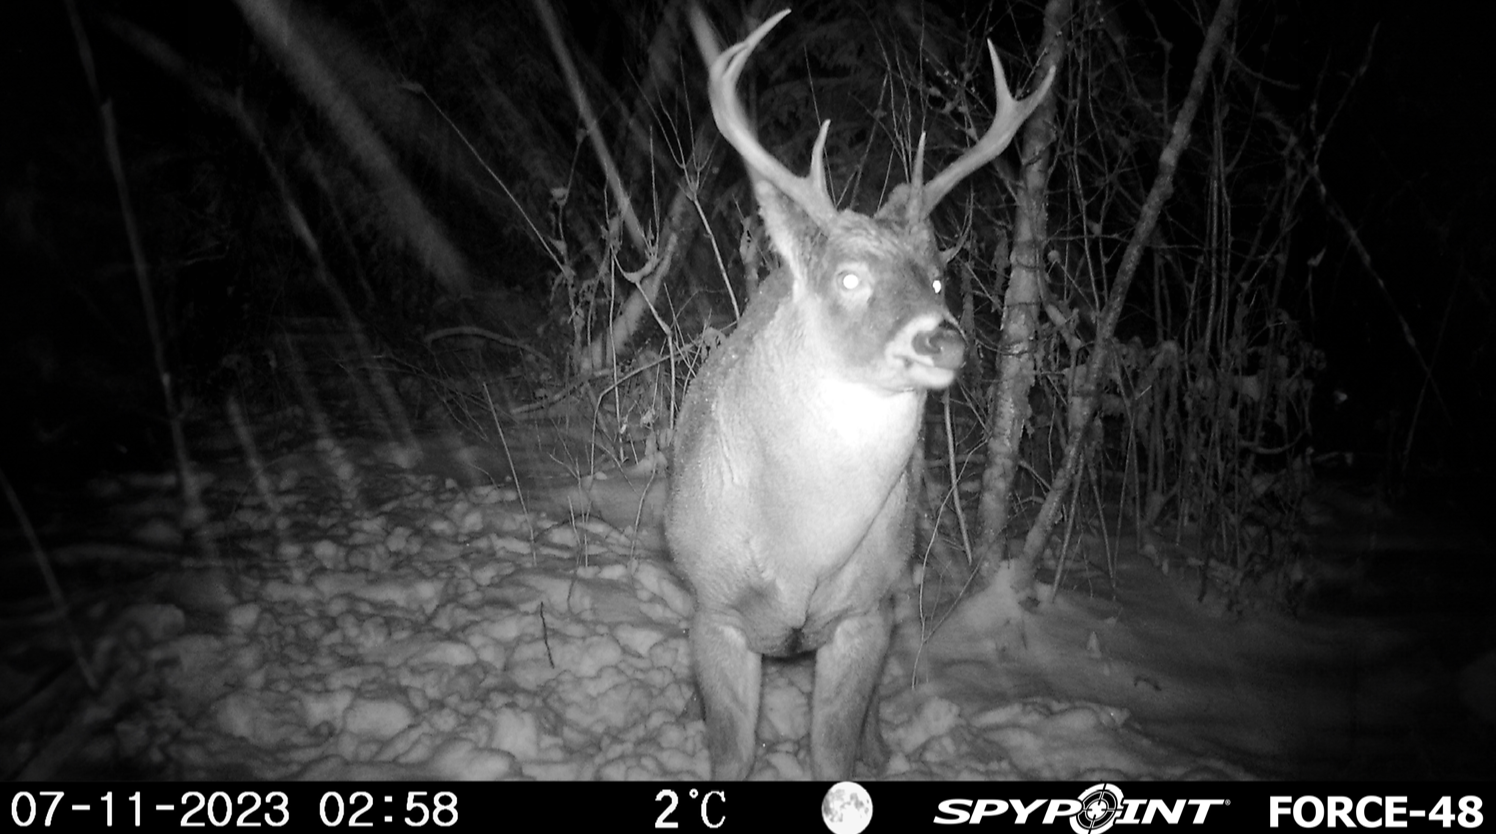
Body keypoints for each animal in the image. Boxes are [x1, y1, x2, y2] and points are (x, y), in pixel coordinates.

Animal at [669, 7, 1054, 780]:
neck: (799, 555)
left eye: (936, 279)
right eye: (848, 278)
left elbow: (834, 752)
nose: (943, 340)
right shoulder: (712, 613)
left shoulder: (863, 616)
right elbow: (732, 756)